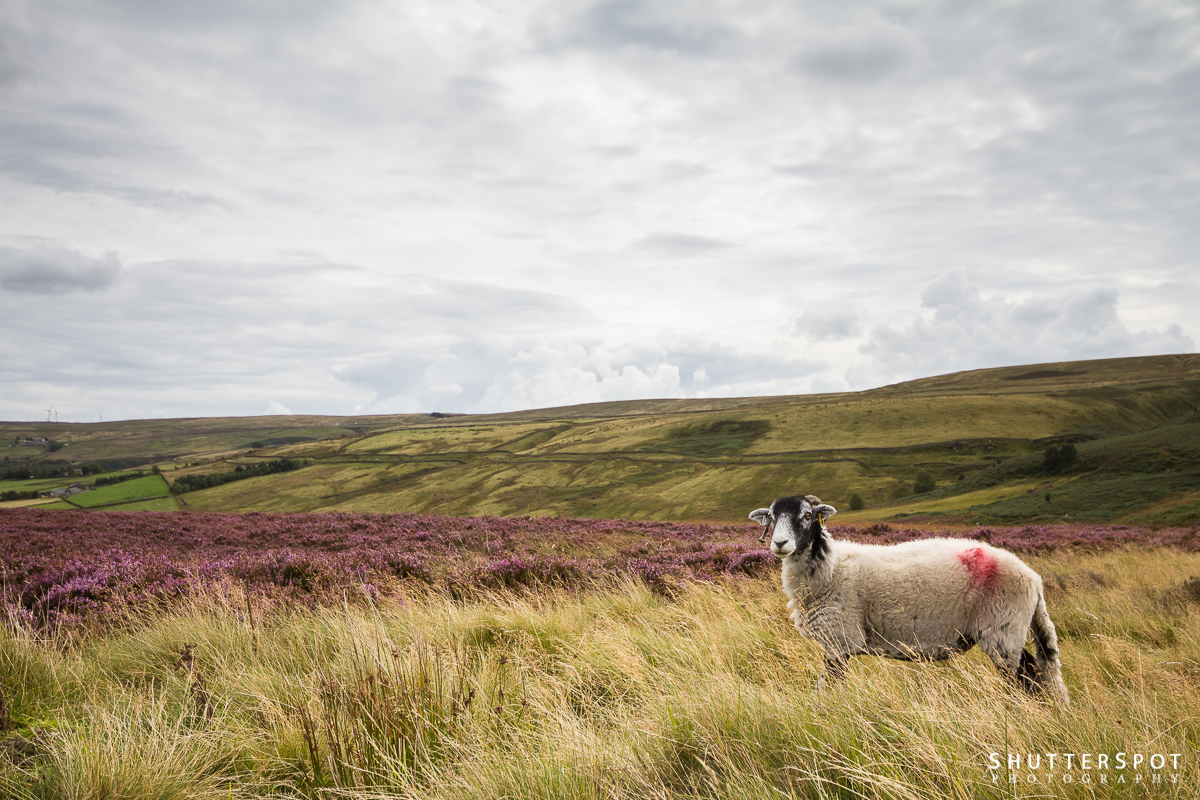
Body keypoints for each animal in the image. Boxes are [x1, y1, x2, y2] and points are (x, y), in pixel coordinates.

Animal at [749, 494, 1069, 702]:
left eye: (806, 516)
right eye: (772, 518)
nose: (780, 543)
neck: (831, 567)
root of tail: (1033, 579)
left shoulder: (839, 640)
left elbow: (827, 687)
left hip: (1002, 630)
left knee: (1024, 676)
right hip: (1009, 630)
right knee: (1036, 673)